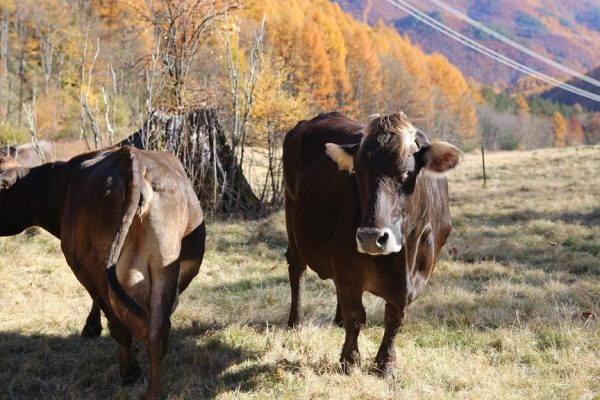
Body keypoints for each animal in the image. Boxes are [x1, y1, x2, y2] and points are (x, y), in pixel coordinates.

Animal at [0, 147, 205, 400]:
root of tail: (132, 158)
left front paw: (91, 327)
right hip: (164, 263)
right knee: (158, 331)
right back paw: (153, 392)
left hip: (93, 265)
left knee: (120, 324)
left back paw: (129, 371)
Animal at [284, 111, 462, 374]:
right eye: (357, 173)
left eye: (408, 172)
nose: (370, 237)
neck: (404, 259)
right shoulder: (348, 268)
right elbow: (356, 316)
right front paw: (350, 361)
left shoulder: (418, 276)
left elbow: (395, 320)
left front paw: (386, 363)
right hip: (291, 218)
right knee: (297, 270)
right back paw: (295, 322)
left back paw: (336, 320)